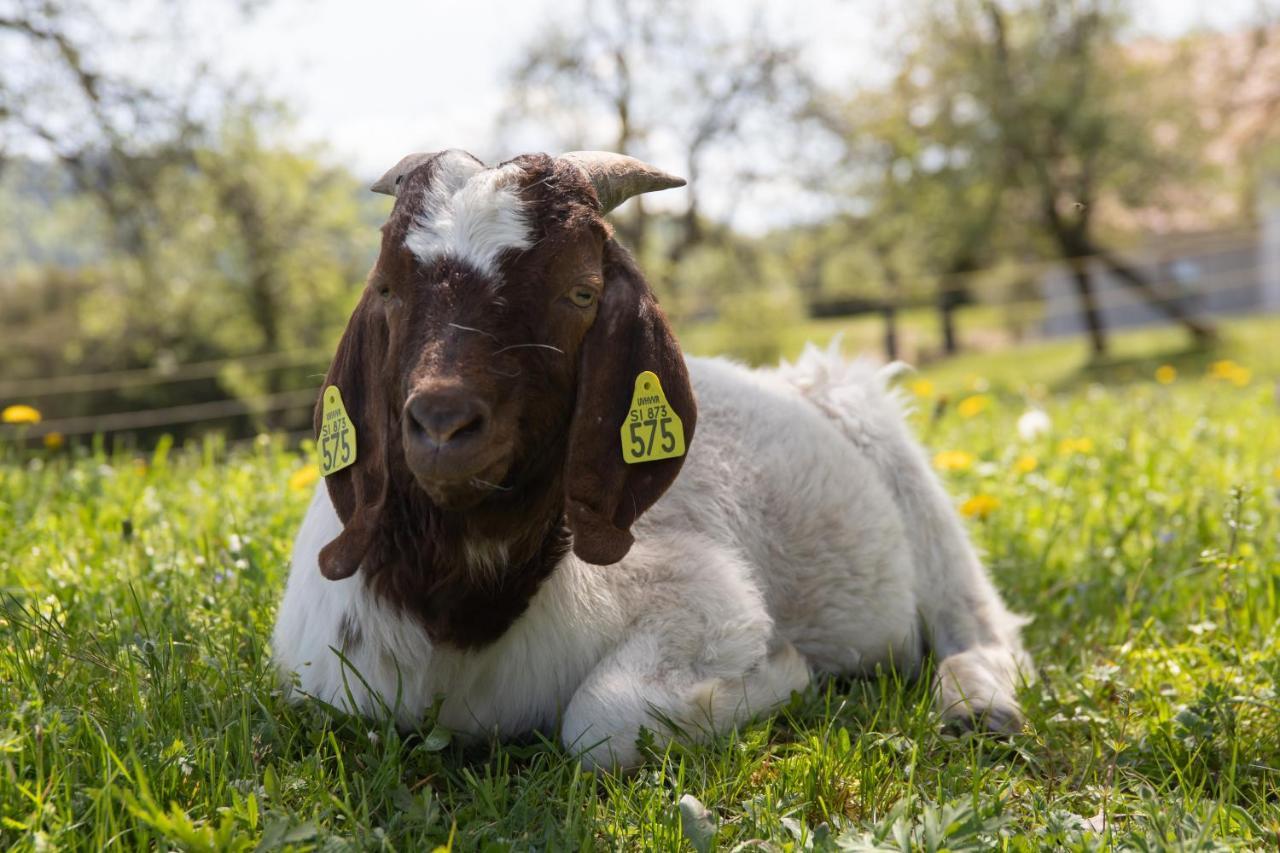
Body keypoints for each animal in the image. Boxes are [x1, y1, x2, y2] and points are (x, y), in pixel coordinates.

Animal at [272, 149, 1029, 768]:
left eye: (580, 290)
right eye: (388, 288)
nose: (441, 423)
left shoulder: (707, 599)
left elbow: (601, 723)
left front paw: (784, 673)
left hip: (893, 452)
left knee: (977, 615)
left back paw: (978, 704)